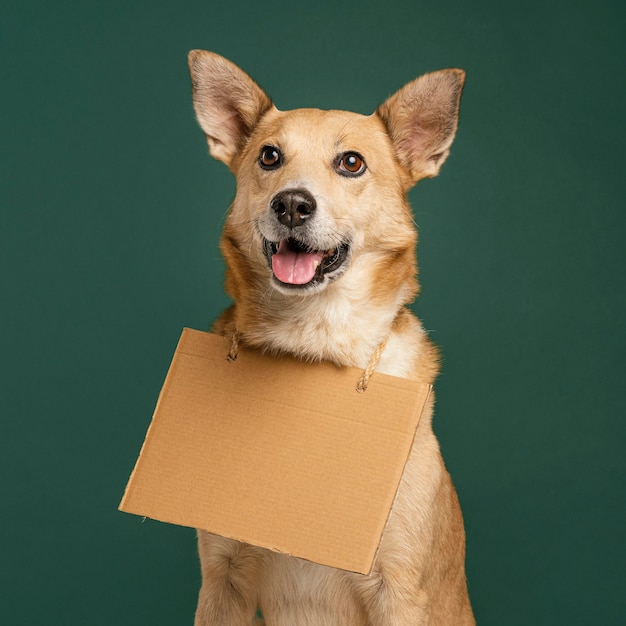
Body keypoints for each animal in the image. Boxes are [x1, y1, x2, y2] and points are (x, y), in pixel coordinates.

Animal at [188, 50, 470, 624]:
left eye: (352, 163)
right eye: (270, 156)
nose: (292, 204)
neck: (312, 344)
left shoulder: (399, 590)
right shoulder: (223, 579)